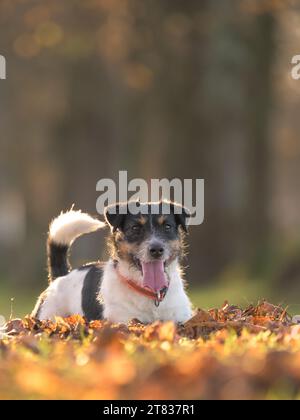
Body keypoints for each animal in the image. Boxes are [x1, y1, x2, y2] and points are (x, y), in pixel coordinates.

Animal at [32, 202, 192, 324]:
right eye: (135, 228)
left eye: (167, 226)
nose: (157, 249)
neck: (150, 293)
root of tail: (61, 277)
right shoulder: (123, 320)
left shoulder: (181, 318)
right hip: (48, 314)